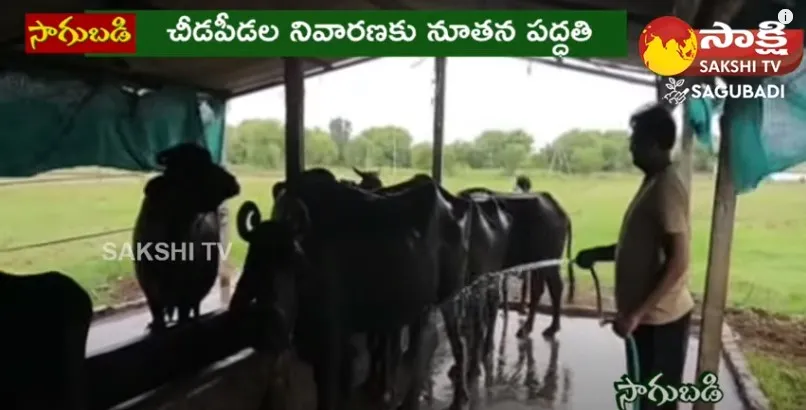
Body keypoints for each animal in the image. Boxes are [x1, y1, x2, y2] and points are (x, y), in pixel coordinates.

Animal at [133, 144, 238, 330]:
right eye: (191, 170)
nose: (232, 181)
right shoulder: (152, 296)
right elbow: (158, 318)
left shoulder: (186, 297)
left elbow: (184, 316)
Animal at [234, 168, 470, 408]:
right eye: (252, 263)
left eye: (292, 261)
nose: (271, 324)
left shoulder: (331, 341)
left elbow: (329, 392)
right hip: (420, 303)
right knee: (426, 342)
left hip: (445, 295)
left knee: (433, 341)